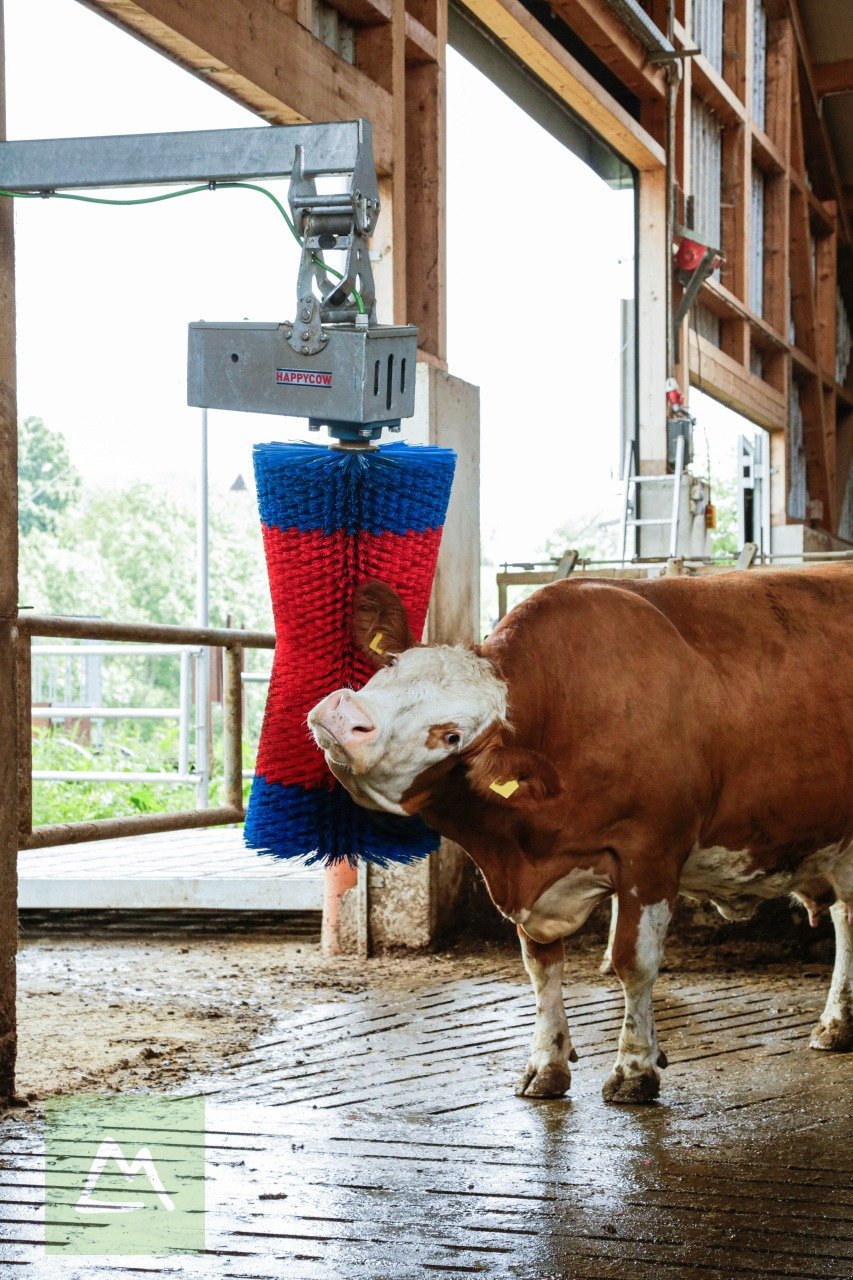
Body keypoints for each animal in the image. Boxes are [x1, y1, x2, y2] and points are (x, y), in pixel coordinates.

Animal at [307, 568, 850, 1100]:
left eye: (452, 736)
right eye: (393, 665)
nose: (345, 715)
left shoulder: (651, 854)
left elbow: (634, 962)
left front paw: (635, 1069)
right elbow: (541, 967)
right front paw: (546, 1063)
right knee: (846, 913)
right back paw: (837, 1026)